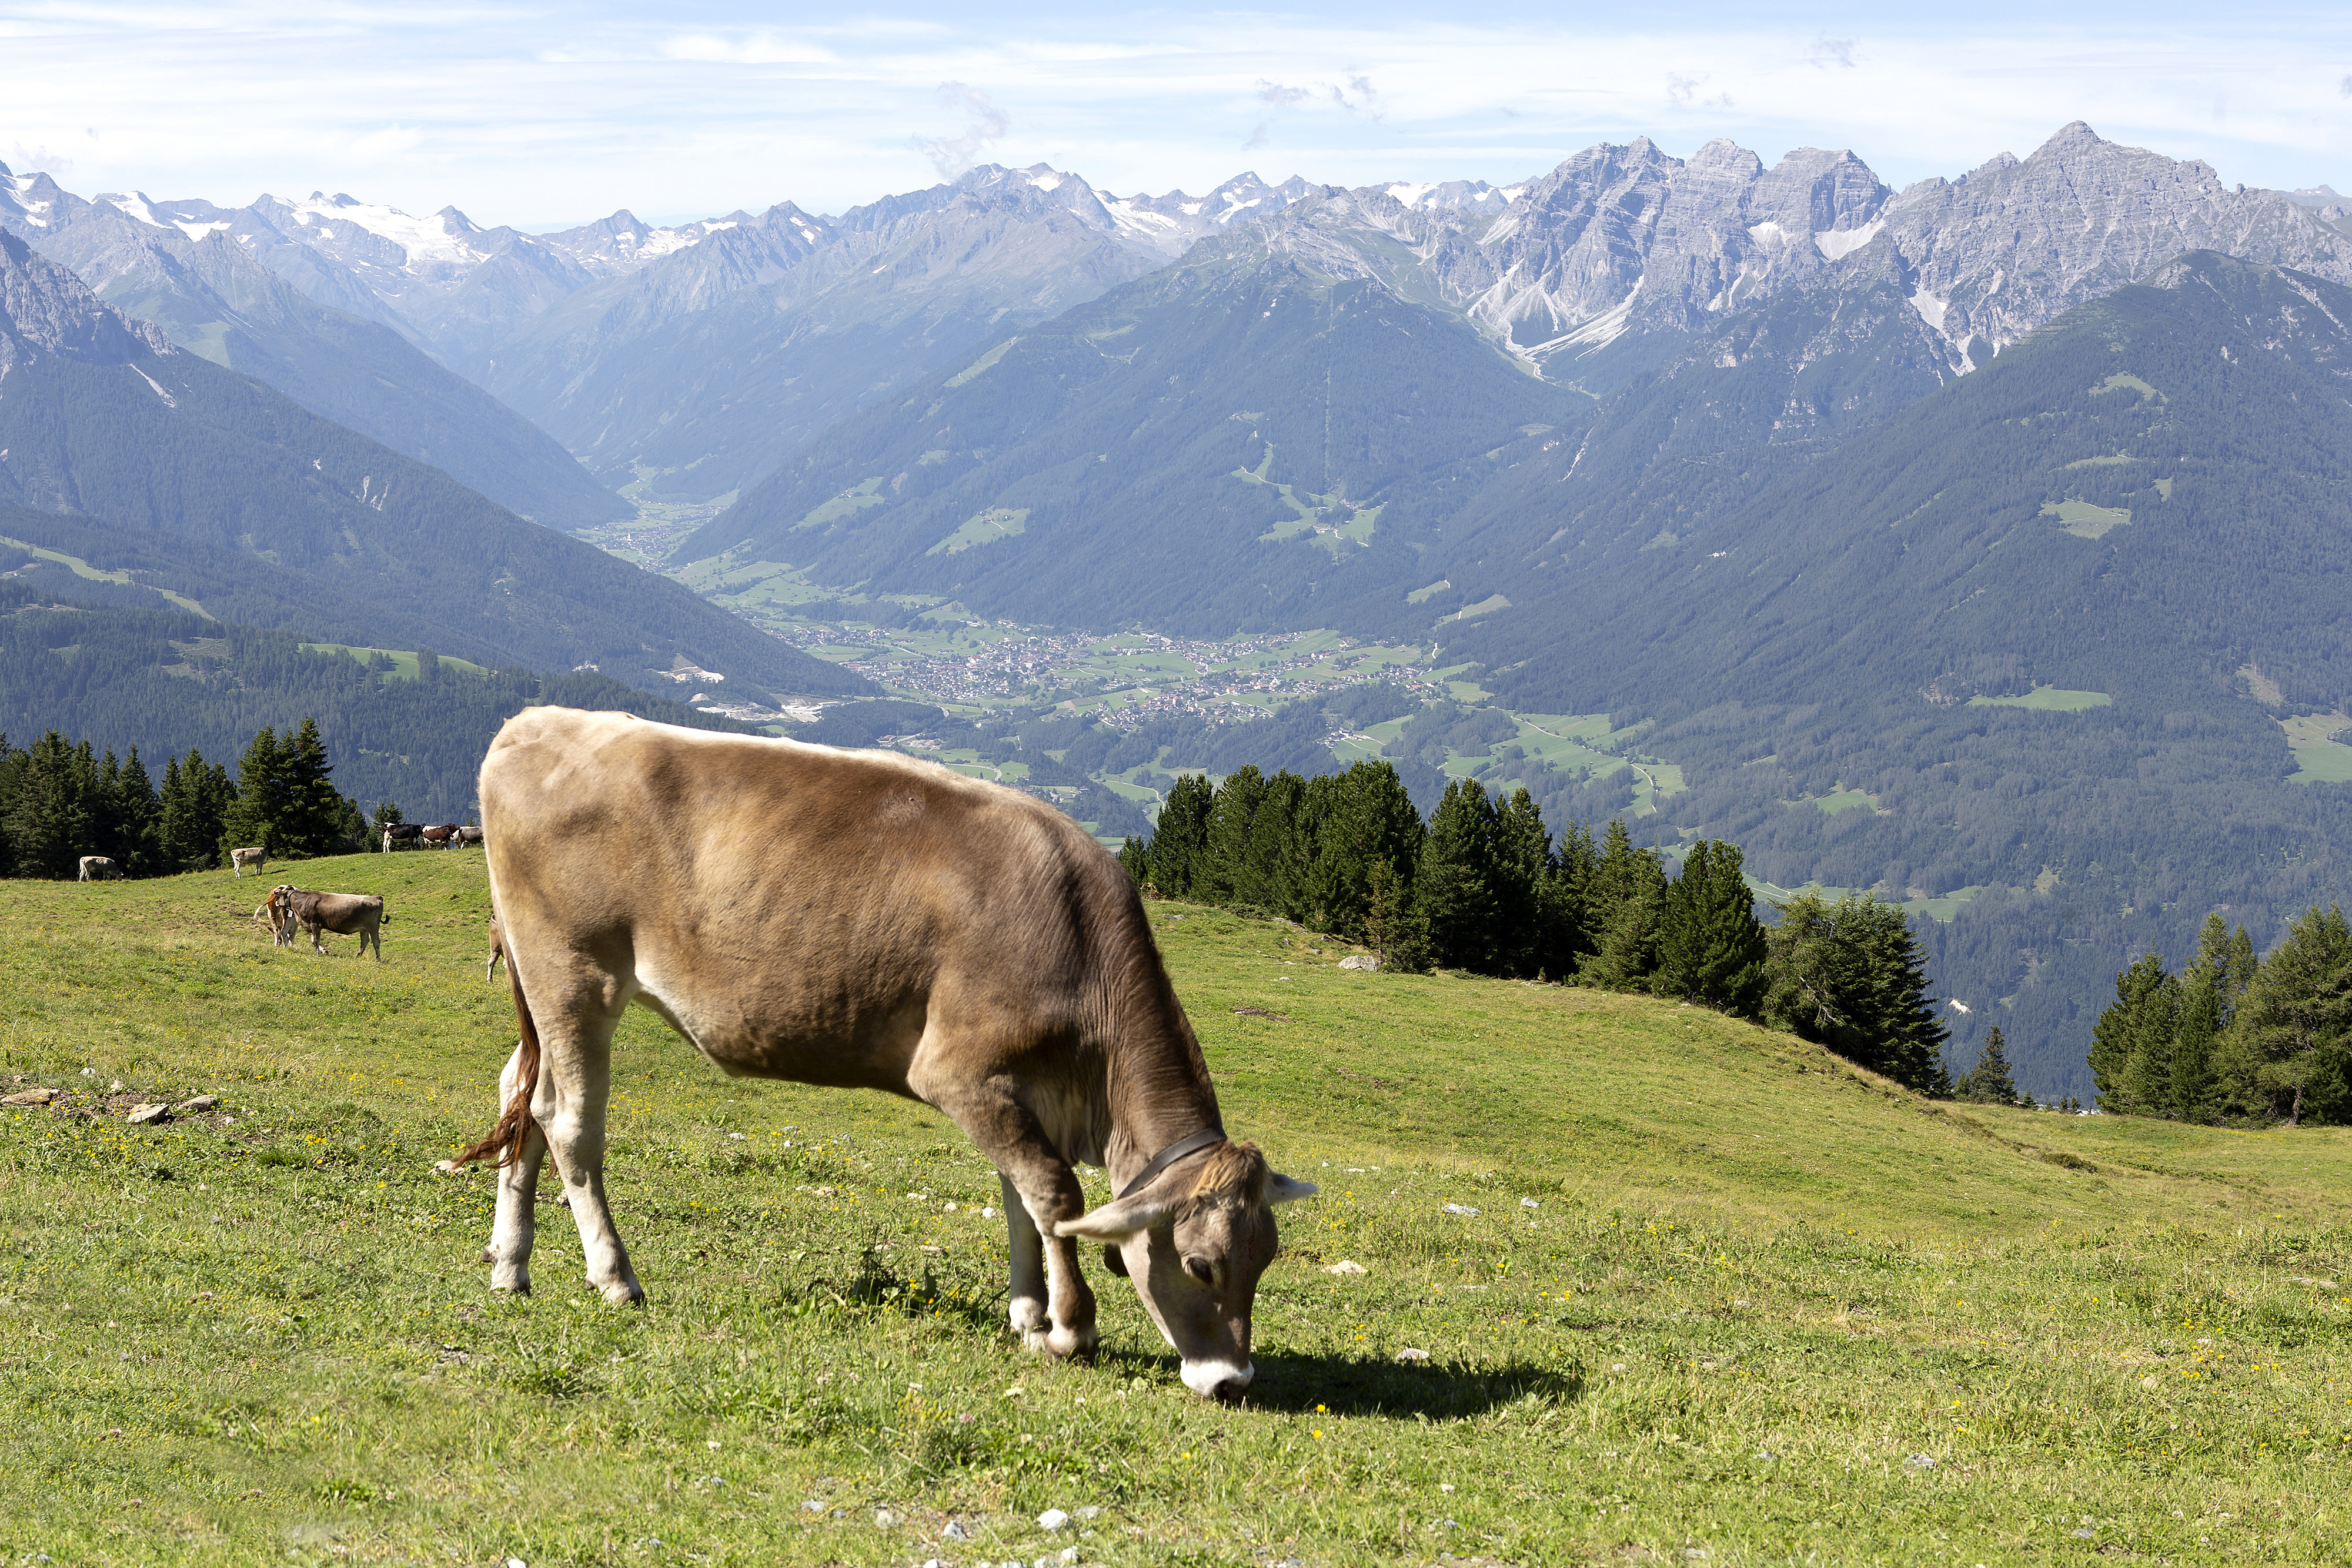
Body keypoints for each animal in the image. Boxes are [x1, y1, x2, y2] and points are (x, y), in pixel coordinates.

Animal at [266, 885, 389, 961]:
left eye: (281, 895)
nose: (277, 902)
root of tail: (377, 898)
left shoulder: (315, 924)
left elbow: (316, 940)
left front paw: (317, 953)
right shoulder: (311, 926)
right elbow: (313, 940)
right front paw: (323, 951)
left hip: (373, 927)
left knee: (376, 942)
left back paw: (378, 959)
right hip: (364, 929)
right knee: (364, 942)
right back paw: (358, 956)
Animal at [444, 707, 1313, 1401]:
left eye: (1266, 1260)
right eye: (1200, 1265)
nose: (1232, 1381)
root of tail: (533, 723)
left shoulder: (1016, 1090)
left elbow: (1020, 1200)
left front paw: (1029, 1314)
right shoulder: (960, 1072)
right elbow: (1053, 1193)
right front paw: (1072, 1328)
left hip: (541, 985)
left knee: (521, 1096)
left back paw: (510, 1266)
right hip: (573, 973)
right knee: (568, 1120)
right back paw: (616, 1278)